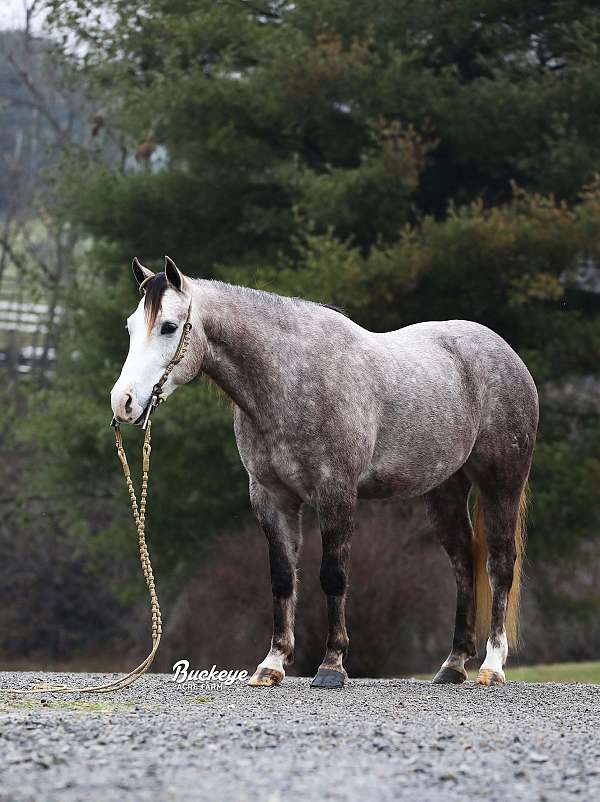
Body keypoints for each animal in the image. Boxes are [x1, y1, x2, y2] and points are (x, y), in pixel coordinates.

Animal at [112, 256, 540, 688]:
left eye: (168, 326)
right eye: (130, 326)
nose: (123, 402)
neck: (289, 379)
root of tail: (505, 354)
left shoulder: (336, 492)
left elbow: (333, 575)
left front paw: (331, 666)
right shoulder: (271, 497)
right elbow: (283, 577)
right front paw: (272, 664)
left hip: (501, 483)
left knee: (499, 563)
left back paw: (492, 665)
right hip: (445, 490)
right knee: (463, 561)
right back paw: (453, 664)